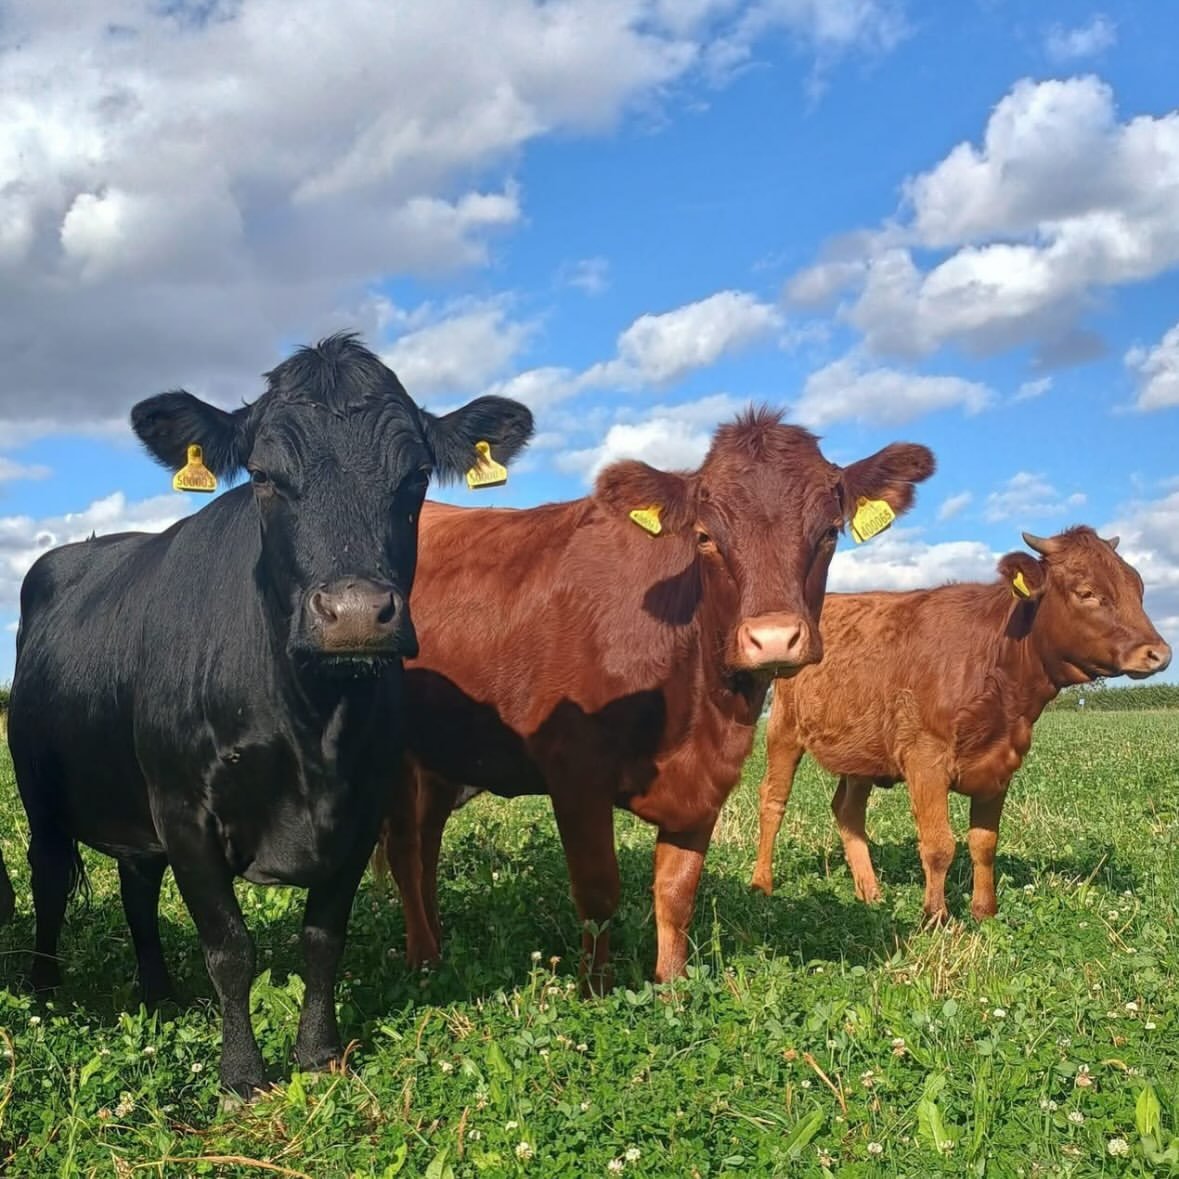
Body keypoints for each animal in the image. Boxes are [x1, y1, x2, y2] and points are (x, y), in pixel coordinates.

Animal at [5, 333, 532, 1099]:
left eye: (415, 477)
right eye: (261, 475)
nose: (352, 614)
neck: (312, 725)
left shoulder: (362, 805)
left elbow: (322, 938)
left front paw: (317, 1052)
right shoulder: (185, 811)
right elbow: (230, 947)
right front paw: (242, 1073)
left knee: (137, 886)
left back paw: (158, 993)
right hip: (40, 788)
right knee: (48, 877)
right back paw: (44, 991)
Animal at [376, 409, 935, 989]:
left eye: (829, 533)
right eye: (705, 537)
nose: (774, 638)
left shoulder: (709, 777)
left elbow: (677, 889)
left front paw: (671, 986)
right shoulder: (575, 772)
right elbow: (598, 892)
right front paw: (595, 989)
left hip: (445, 752)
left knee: (427, 842)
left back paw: (438, 941)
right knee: (404, 847)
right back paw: (423, 957)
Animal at [750, 527, 1172, 922]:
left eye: (1138, 588)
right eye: (1087, 592)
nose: (1160, 653)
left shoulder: (1001, 763)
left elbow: (984, 842)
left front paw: (985, 913)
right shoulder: (925, 760)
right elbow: (939, 845)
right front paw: (937, 918)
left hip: (861, 751)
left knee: (848, 811)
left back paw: (870, 893)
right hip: (783, 730)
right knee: (773, 800)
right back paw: (762, 885)